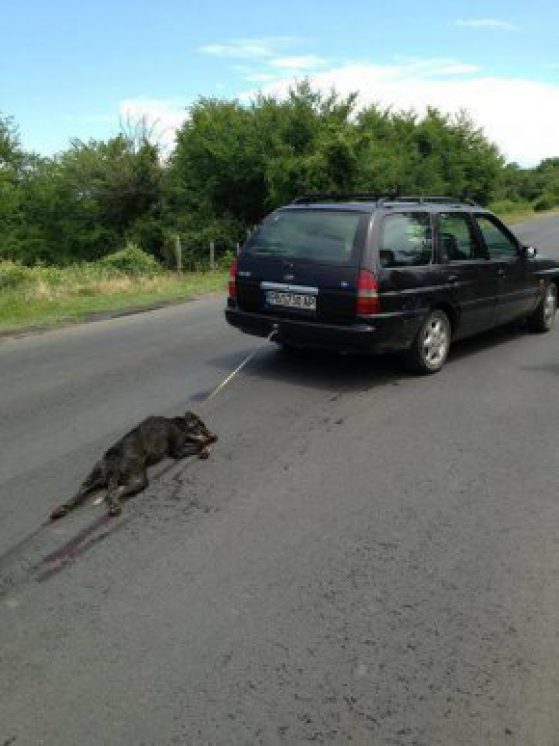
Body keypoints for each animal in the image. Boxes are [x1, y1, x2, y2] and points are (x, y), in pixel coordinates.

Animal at [49, 410, 217, 520]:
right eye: (202, 427)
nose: (215, 435)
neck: (177, 423)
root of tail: (113, 463)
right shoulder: (178, 450)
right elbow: (200, 444)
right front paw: (206, 448)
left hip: (92, 477)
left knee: (77, 495)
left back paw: (61, 510)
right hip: (139, 479)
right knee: (112, 493)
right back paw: (114, 507)